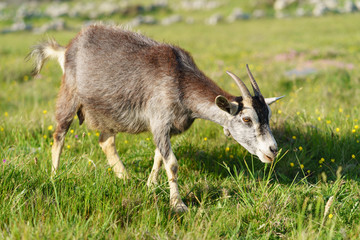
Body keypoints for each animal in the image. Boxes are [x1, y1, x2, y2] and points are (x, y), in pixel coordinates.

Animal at [30, 23, 284, 212]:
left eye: (268, 115)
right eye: (246, 119)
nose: (272, 150)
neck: (180, 81)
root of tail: (65, 49)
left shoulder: (165, 128)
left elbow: (158, 157)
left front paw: (150, 186)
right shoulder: (160, 120)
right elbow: (172, 163)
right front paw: (178, 204)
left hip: (107, 111)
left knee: (105, 141)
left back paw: (125, 178)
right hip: (69, 95)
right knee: (59, 134)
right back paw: (54, 176)